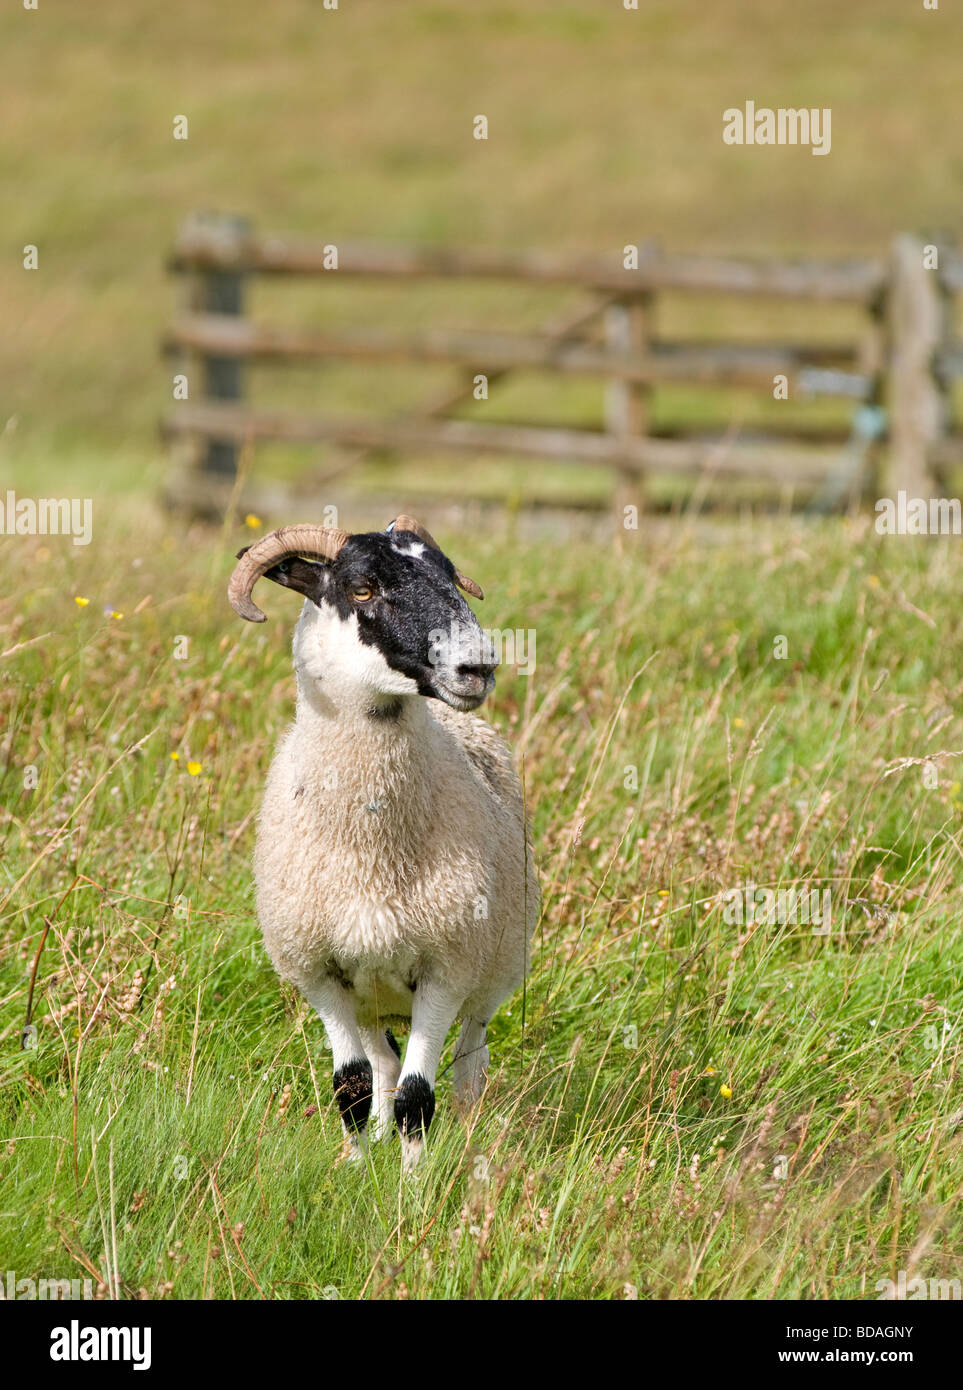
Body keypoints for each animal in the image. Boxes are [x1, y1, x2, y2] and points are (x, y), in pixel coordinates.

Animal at [227, 517, 536, 1167]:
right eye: (362, 588)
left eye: (450, 577)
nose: (477, 668)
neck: (369, 852)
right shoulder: (320, 973)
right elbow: (353, 1085)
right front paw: (353, 1168)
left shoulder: (447, 970)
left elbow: (420, 1096)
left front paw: (413, 1186)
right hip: (371, 994)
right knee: (383, 1066)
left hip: (490, 979)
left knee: (467, 1075)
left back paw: (469, 1149)